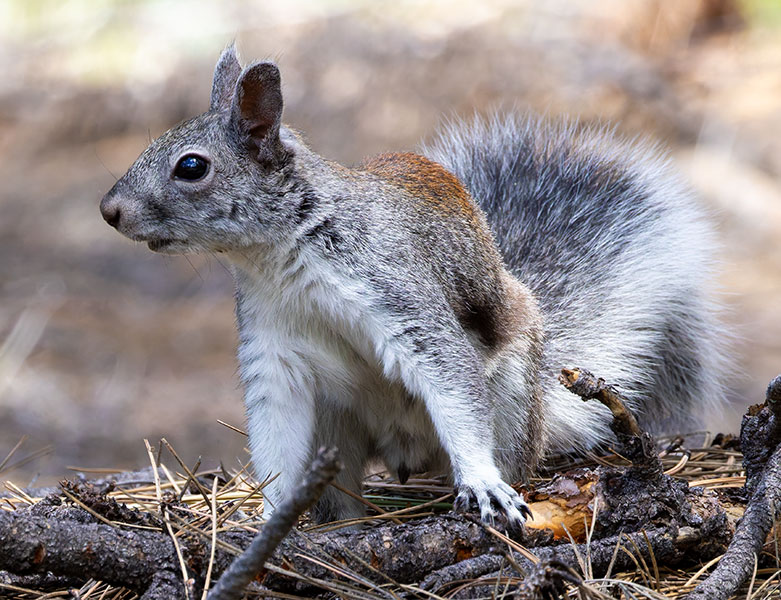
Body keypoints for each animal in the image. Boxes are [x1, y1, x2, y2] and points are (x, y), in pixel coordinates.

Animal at [100, 45, 727, 528]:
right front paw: (271, 513)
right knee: (344, 491)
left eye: (191, 167)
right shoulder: (273, 346)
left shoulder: (402, 296)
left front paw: (482, 482)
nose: (110, 211)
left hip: (511, 399)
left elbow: (449, 380)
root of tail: (410, 456)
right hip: (337, 425)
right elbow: (275, 429)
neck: (282, 257)